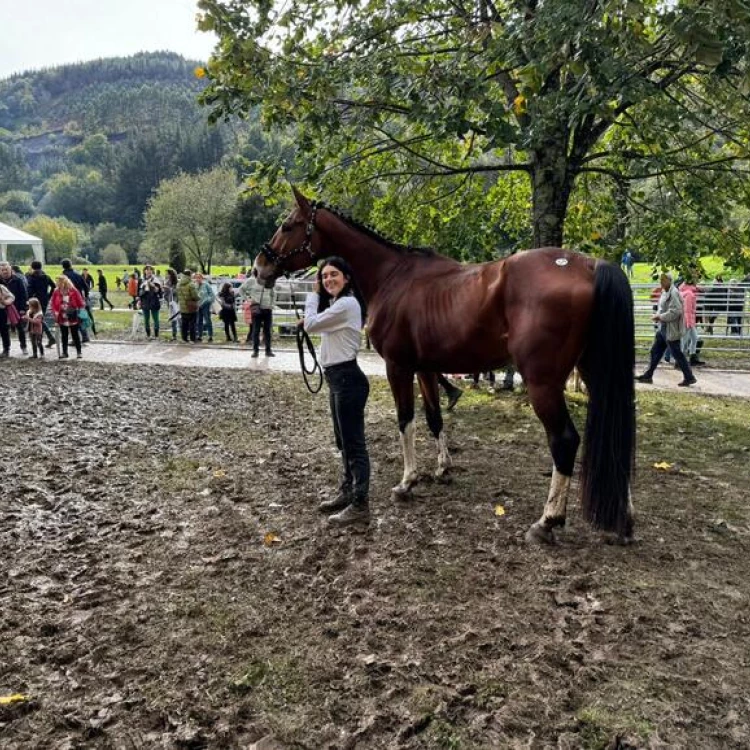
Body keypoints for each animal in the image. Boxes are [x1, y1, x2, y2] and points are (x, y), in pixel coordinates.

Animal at [256, 188, 636, 548]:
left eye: (287, 226)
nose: (260, 268)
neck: (392, 276)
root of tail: (590, 265)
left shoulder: (399, 366)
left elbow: (406, 420)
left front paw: (407, 482)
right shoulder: (426, 368)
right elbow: (434, 418)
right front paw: (442, 469)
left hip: (543, 382)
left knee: (565, 440)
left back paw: (547, 522)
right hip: (596, 375)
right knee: (616, 438)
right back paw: (623, 521)